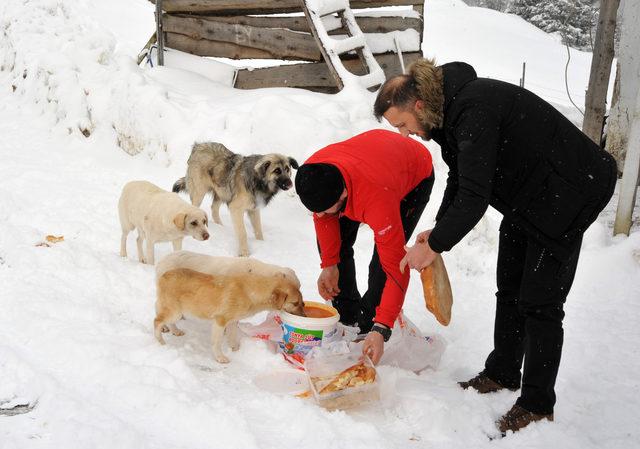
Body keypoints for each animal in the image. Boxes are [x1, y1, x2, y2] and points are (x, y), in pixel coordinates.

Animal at [154, 250, 304, 362]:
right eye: (295, 303)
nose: (304, 315)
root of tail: (163, 262)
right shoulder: (220, 319)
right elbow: (217, 341)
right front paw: (220, 357)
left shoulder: (232, 320)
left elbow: (232, 336)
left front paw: (236, 350)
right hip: (174, 309)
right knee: (157, 317)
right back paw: (161, 339)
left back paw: (174, 330)